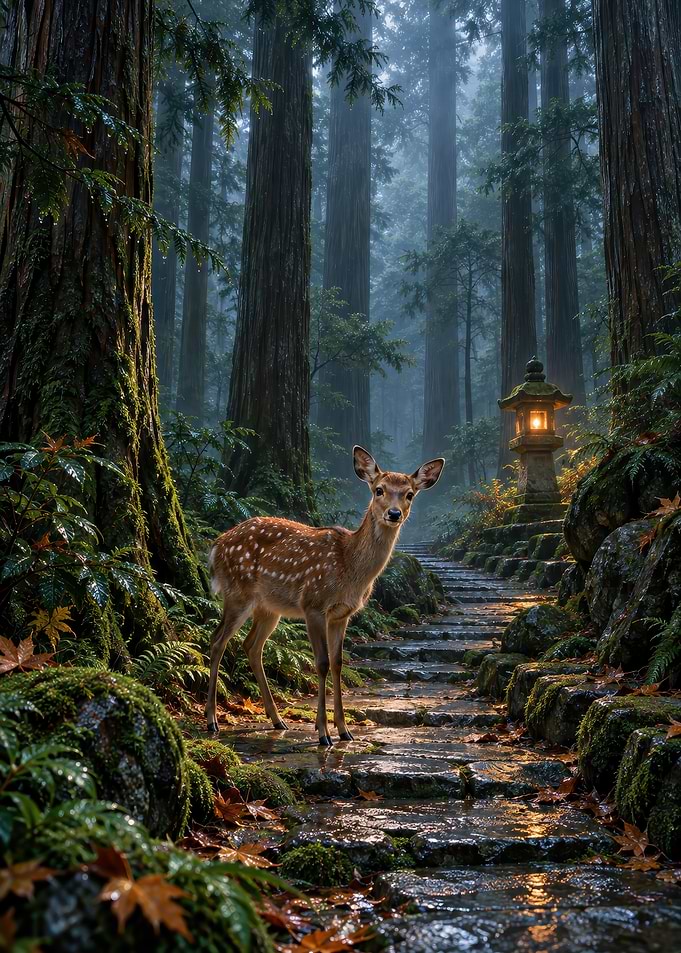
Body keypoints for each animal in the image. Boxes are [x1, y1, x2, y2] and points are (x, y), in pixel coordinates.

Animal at [205, 446, 445, 746]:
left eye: (409, 494)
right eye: (379, 490)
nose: (393, 513)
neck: (349, 567)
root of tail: (216, 545)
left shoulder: (342, 614)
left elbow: (338, 663)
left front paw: (344, 730)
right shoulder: (313, 604)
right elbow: (320, 663)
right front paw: (323, 733)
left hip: (269, 608)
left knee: (251, 645)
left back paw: (277, 719)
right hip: (238, 592)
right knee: (217, 640)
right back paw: (212, 720)